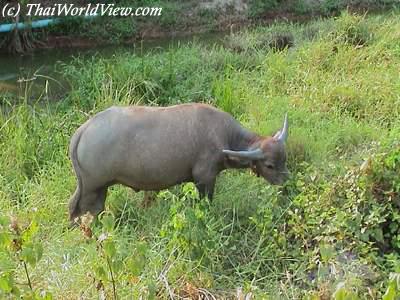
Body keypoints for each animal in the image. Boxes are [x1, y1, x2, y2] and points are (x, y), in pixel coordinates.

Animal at [68, 103, 288, 220]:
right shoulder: (204, 178)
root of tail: (83, 130)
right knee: (82, 209)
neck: (225, 137)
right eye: (270, 165)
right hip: (92, 187)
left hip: (95, 186)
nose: (286, 183)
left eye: (284, 159)